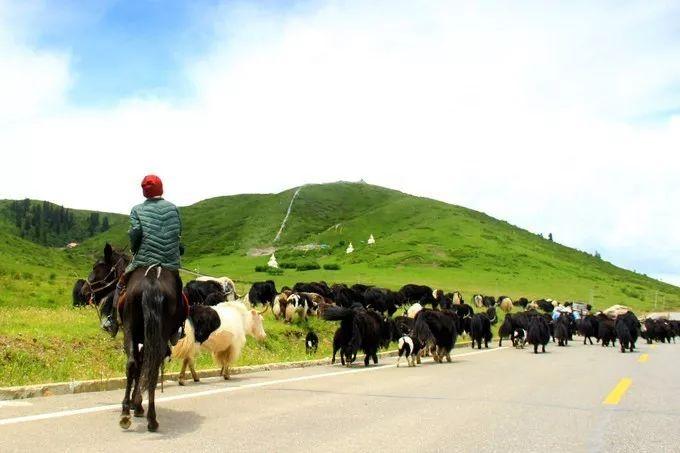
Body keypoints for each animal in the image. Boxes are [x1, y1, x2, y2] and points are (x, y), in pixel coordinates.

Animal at [119, 264, 183, 430]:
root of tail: (151, 281)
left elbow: (140, 370)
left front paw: (136, 404)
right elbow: (142, 370)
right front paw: (137, 404)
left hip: (130, 331)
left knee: (133, 365)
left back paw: (128, 413)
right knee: (149, 369)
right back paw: (148, 418)